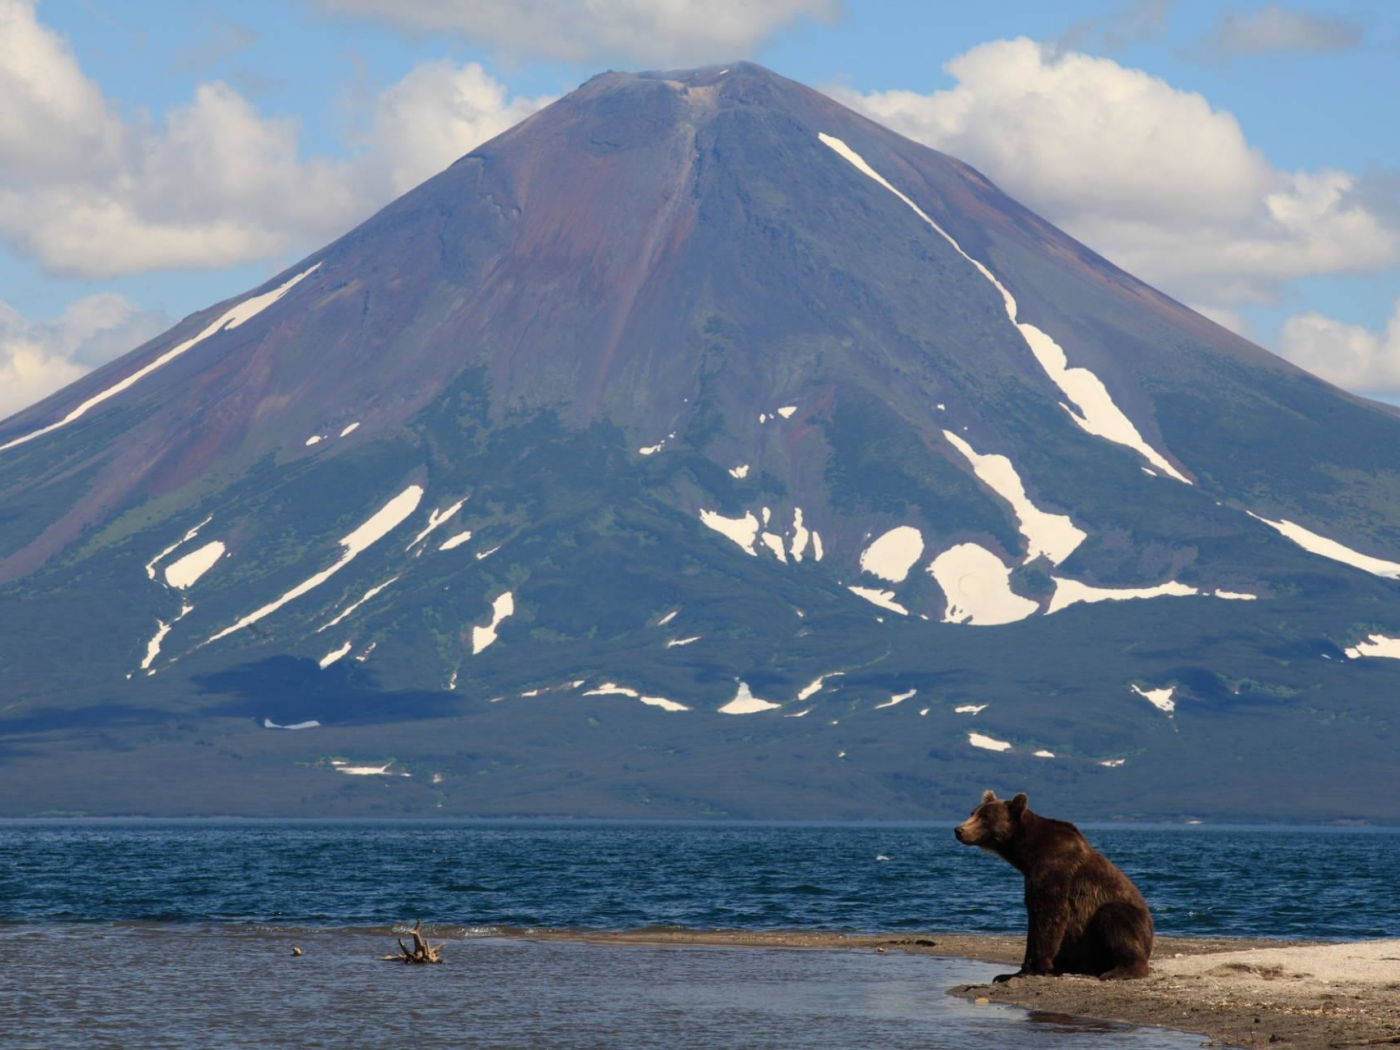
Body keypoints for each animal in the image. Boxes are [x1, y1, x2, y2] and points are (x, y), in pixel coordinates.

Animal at [957, 795, 1153, 985]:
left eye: (985, 816)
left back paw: (1119, 970)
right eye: (973, 812)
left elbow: (1049, 916)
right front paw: (1009, 973)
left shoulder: (1056, 869)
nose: (959, 830)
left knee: (1114, 918)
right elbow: (1033, 919)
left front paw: (1033, 968)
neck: (1027, 853)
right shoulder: (1031, 879)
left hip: (1126, 924)